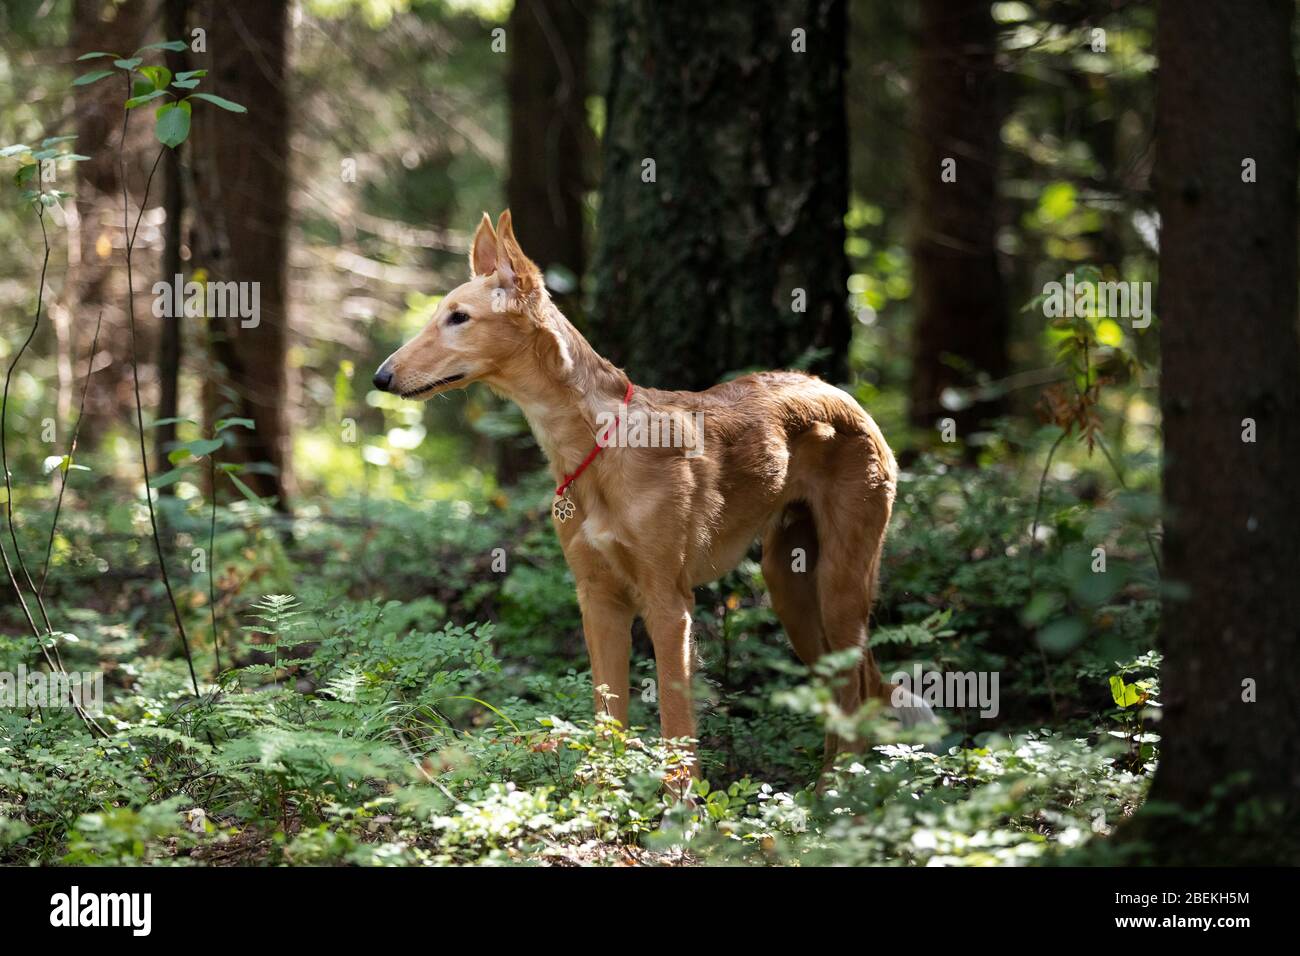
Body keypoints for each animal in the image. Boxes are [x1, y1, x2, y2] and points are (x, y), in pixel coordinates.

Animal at [371, 209, 930, 780]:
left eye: (458, 318)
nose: (380, 377)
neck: (598, 446)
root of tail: (839, 392)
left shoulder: (669, 604)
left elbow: (676, 728)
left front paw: (683, 804)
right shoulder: (598, 601)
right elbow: (606, 723)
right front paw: (606, 794)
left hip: (840, 584)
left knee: (858, 693)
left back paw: (839, 791)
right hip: (789, 583)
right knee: (845, 692)